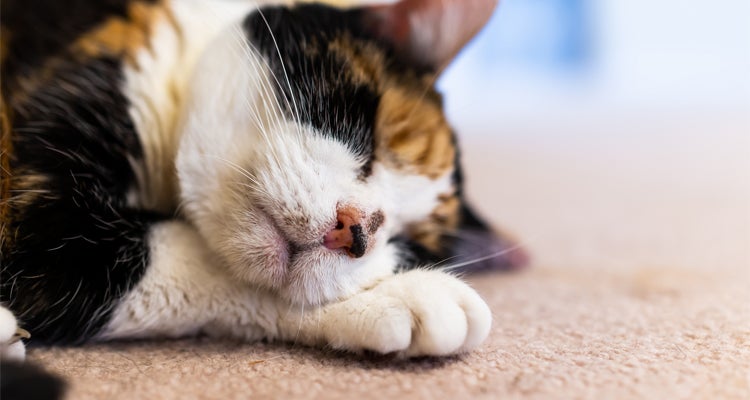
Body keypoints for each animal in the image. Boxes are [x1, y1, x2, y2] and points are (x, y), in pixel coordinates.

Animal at [0, 0, 528, 364]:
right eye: (373, 136)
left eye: (406, 244)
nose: (354, 230)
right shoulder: (46, 227)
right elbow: (197, 260)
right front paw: (405, 296)